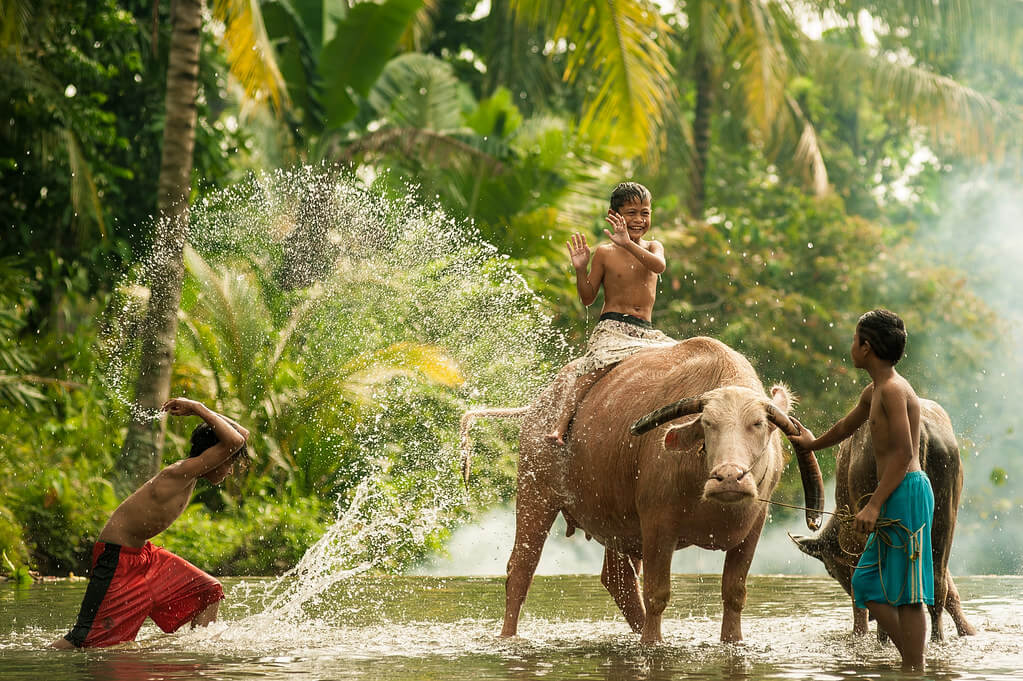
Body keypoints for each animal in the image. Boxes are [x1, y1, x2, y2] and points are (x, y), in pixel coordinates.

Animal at [461, 336, 825, 642]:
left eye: (757, 424)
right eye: (708, 424)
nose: (729, 477)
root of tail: (542, 407)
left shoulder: (754, 526)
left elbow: (734, 594)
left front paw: (731, 640)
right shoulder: (657, 525)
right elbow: (657, 594)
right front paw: (652, 642)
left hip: (616, 520)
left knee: (617, 579)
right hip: (535, 490)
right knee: (521, 568)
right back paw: (508, 636)